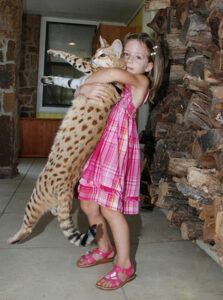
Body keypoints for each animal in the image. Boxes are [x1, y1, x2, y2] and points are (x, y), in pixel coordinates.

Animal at [7, 37, 123, 246]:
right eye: (96, 51)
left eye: (102, 54)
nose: (93, 57)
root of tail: (66, 190)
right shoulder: (78, 82)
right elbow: (64, 80)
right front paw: (46, 78)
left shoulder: (90, 71)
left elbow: (73, 57)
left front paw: (53, 51)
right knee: (54, 212)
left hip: (35, 196)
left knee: (28, 226)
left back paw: (12, 239)